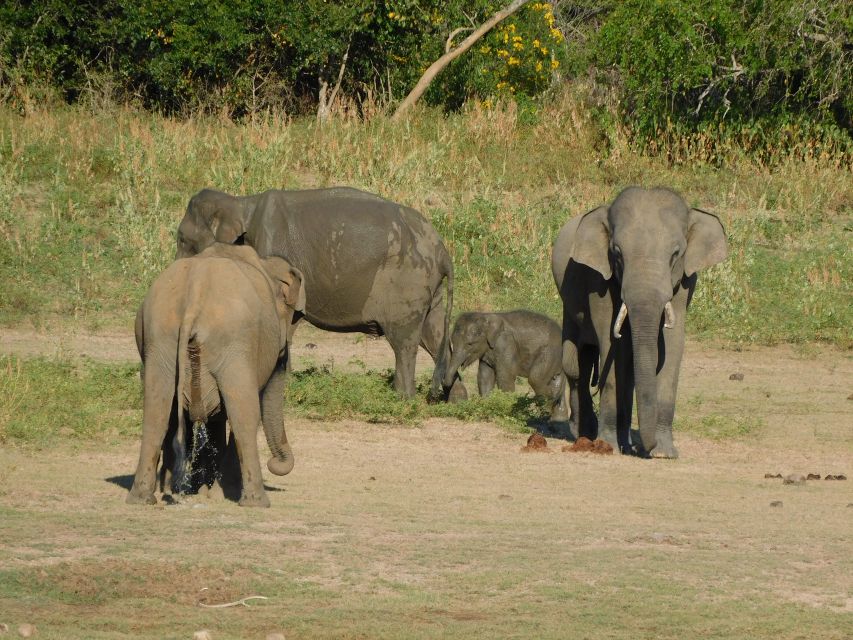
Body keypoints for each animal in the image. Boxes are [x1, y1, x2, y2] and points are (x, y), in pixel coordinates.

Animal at [129, 242, 306, 508]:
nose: (275, 463)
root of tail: (194, 295)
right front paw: (219, 491)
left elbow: (214, 416)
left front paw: (205, 491)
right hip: (233, 347)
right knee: (244, 413)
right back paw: (255, 501)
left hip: (159, 342)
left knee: (156, 412)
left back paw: (144, 498)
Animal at [176, 185, 462, 402]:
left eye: (181, 239)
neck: (242, 203)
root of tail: (442, 252)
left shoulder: (271, 253)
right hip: (429, 289)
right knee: (434, 336)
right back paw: (455, 400)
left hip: (407, 283)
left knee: (404, 342)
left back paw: (402, 398)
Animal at [552, 188, 724, 458]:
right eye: (617, 253)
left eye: (676, 254)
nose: (646, 447)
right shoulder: (598, 280)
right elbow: (611, 344)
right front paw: (609, 447)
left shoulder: (686, 281)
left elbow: (673, 344)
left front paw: (663, 453)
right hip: (568, 304)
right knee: (576, 363)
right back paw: (585, 434)